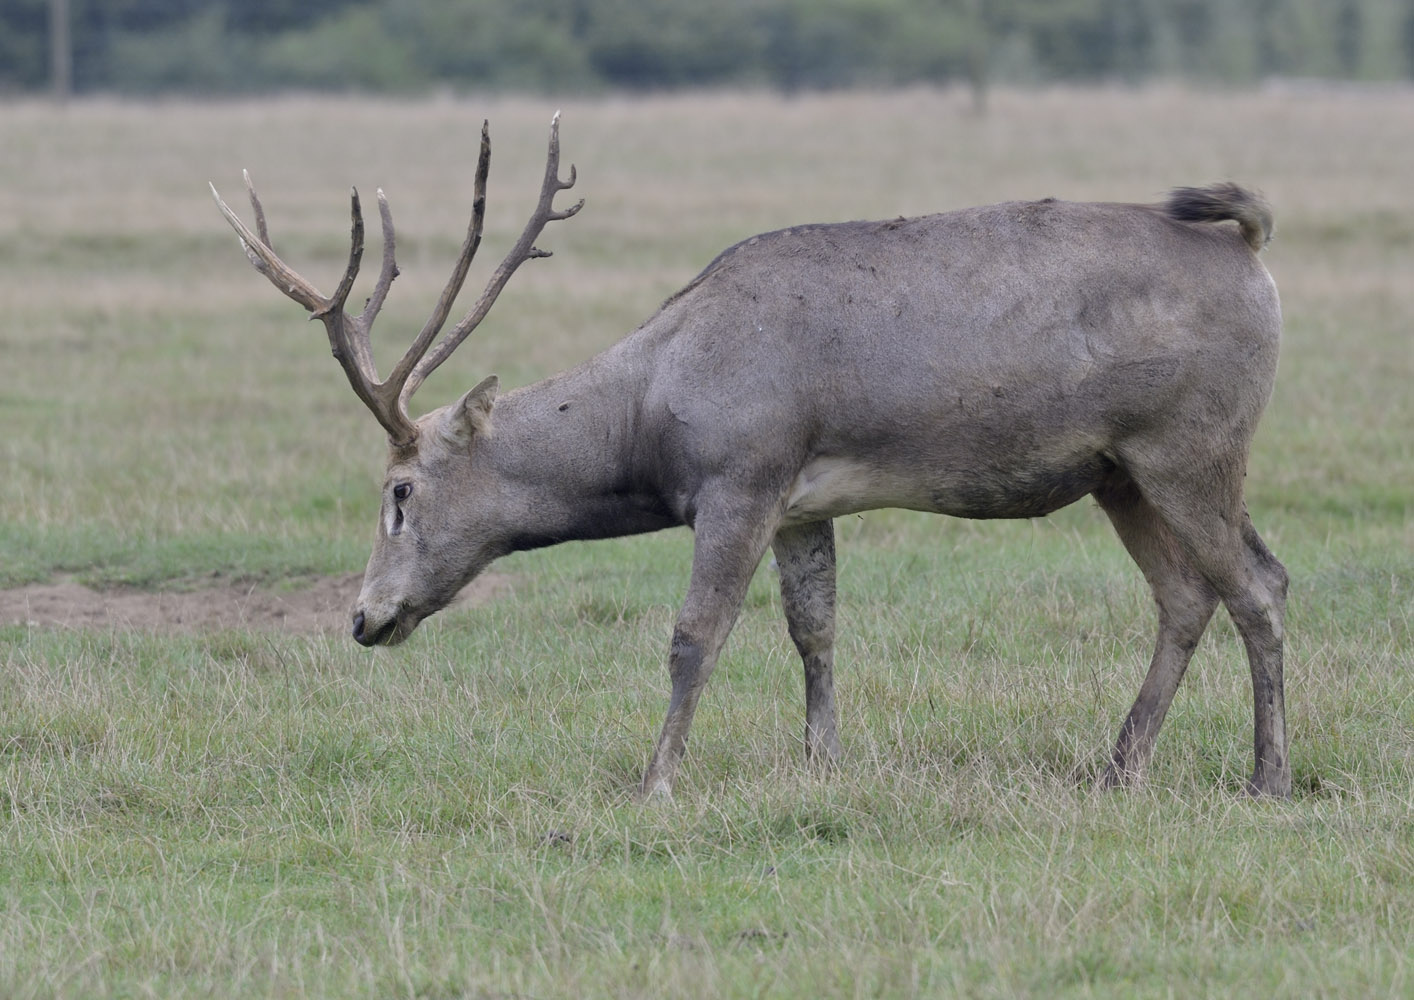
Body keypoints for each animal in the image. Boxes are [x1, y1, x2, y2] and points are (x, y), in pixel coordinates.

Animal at [212, 114, 1291, 800]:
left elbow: (696, 634)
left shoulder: (741, 472)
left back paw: (1266, 777)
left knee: (1258, 583)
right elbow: (814, 629)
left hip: (1193, 443)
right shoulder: (800, 500)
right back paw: (1117, 766)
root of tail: (1252, 252)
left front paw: (655, 779)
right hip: (1118, 471)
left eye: (398, 490)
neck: (656, 415)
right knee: (1186, 594)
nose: (363, 618)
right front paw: (823, 763)